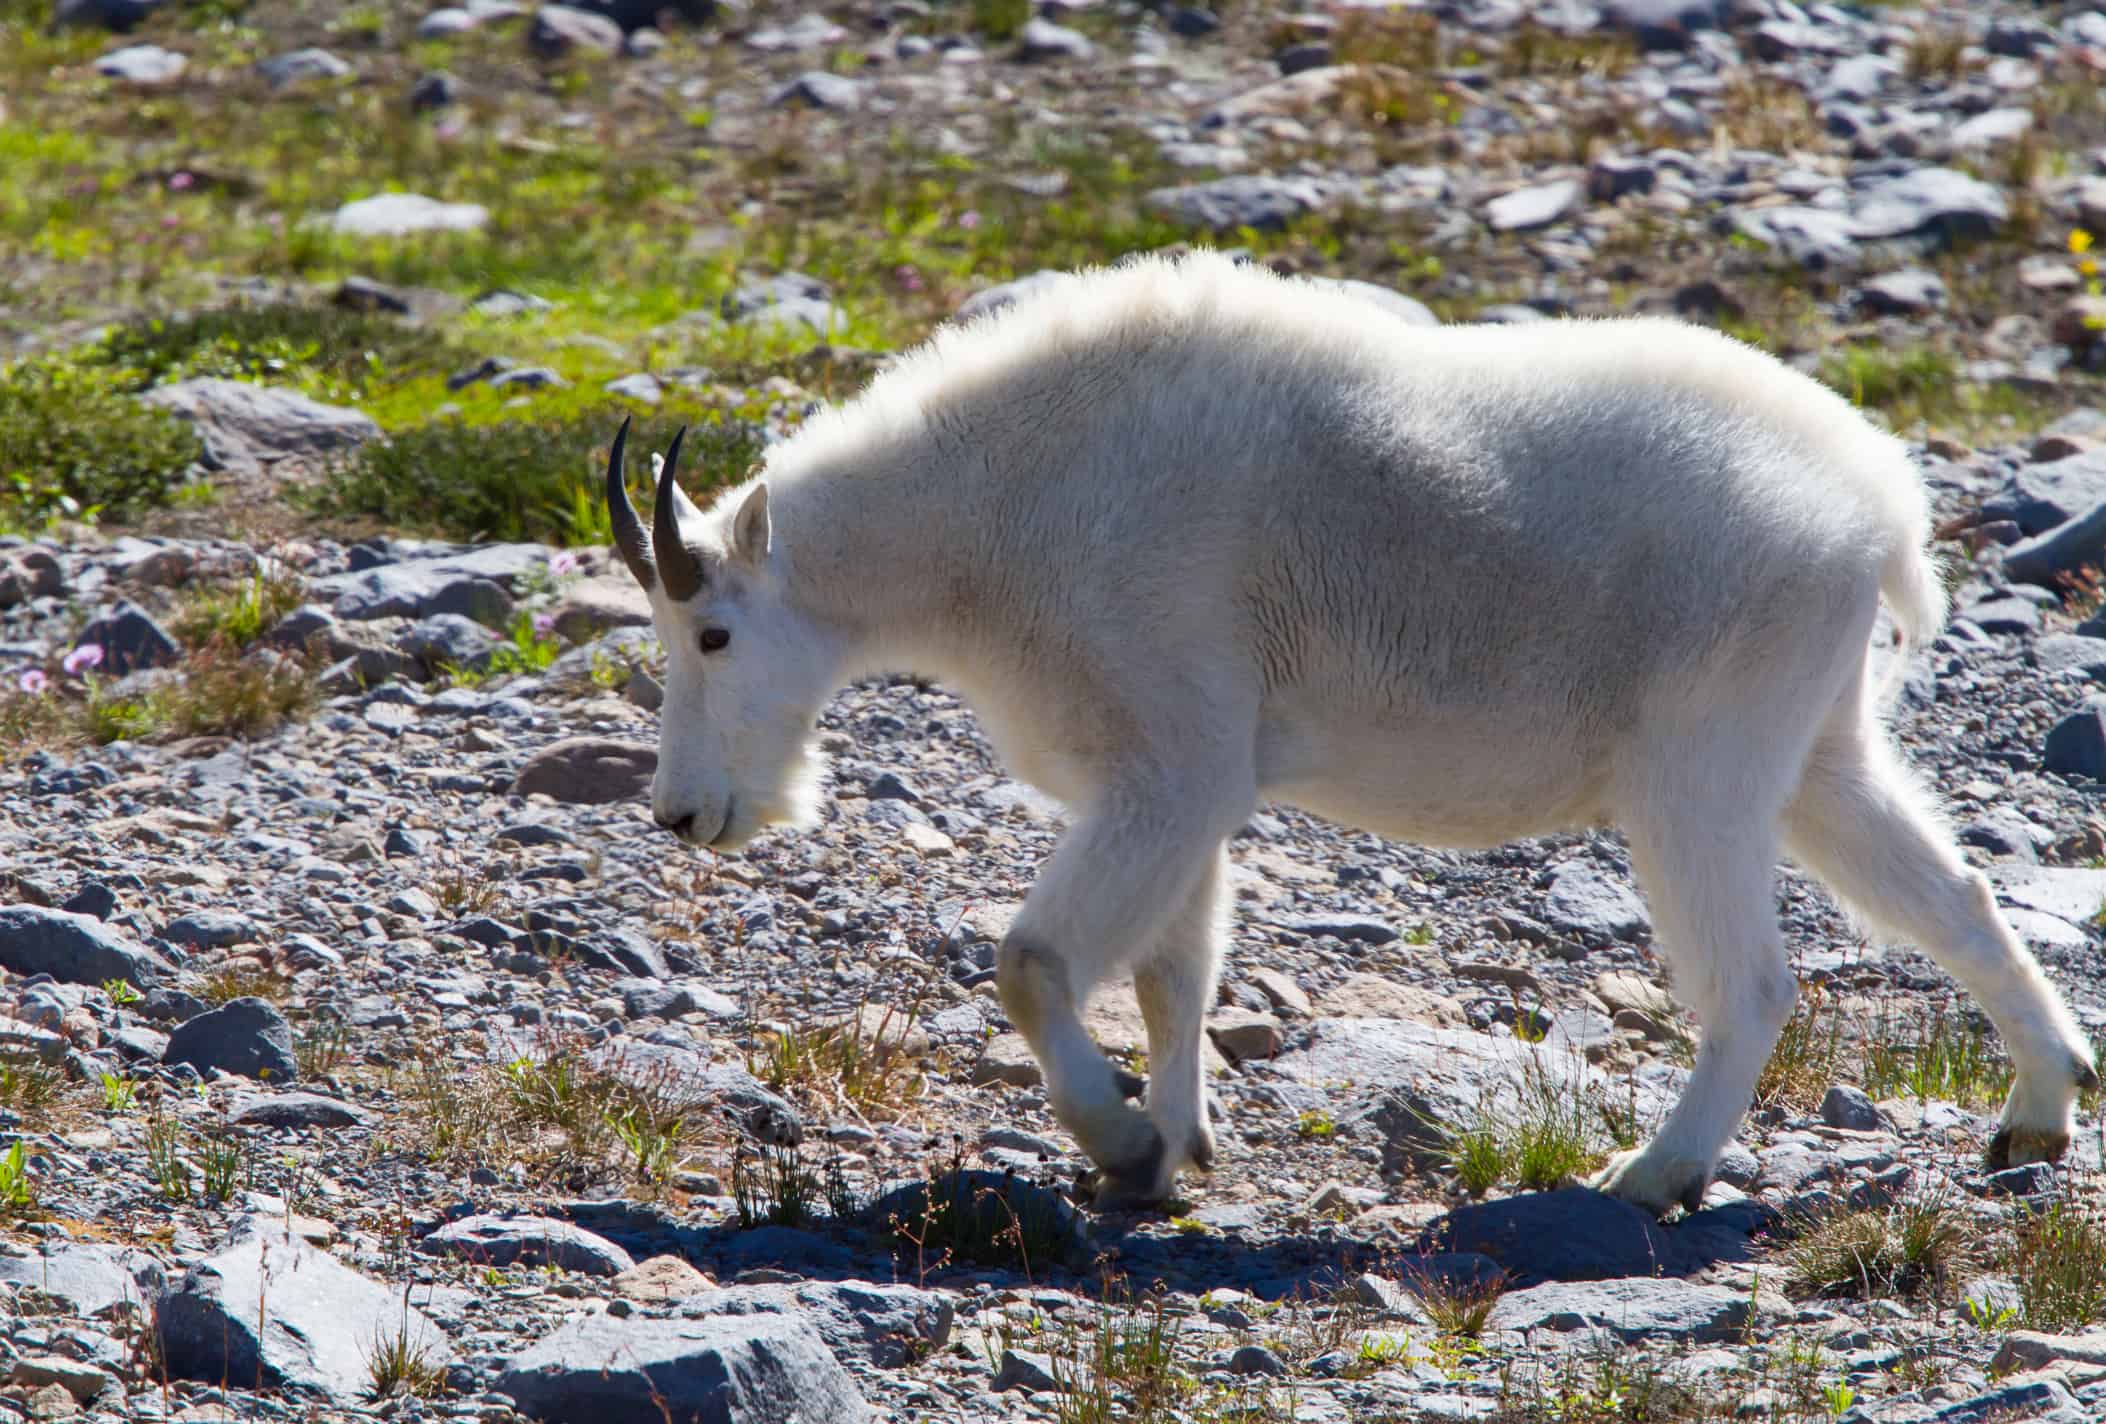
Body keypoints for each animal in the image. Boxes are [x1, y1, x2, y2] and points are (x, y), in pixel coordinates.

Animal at [602, 250, 2097, 1221]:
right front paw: (1172, 1149)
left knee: (1753, 979)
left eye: (711, 634)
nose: (682, 812)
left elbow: (1033, 964)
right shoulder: (1174, 780)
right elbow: (1174, 971)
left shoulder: (1171, 759)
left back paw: (1654, 1175)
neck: (995, 510)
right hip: (1818, 743)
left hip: (1698, 762)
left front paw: (1119, 1142)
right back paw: (2036, 1110)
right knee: (1950, 895)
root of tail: (1880, 512)